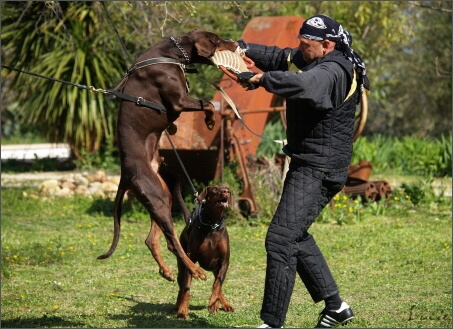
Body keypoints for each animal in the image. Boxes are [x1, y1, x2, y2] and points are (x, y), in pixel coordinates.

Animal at [97, 30, 238, 282]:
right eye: (217, 39)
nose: (237, 43)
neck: (170, 54)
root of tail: (125, 174)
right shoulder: (179, 101)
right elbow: (208, 103)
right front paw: (210, 121)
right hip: (158, 198)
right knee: (173, 242)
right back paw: (194, 270)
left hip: (161, 195)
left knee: (152, 239)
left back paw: (167, 270)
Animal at [173, 184, 233, 318]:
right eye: (214, 189)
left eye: (227, 188)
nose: (226, 191)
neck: (211, 225)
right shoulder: (191, 258)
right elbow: (186, 287)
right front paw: (183, 311)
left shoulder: (224, 261)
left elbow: (218, 284)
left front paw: (213, 302)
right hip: (182, 264)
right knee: (181, 286)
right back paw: (177, 306)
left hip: (216, 268)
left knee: (217, 282)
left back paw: (222, 304)